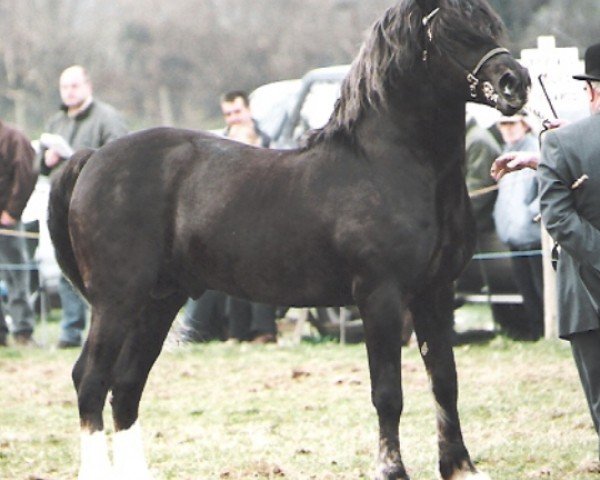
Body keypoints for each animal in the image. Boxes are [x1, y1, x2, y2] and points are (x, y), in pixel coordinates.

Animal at [48, 1, 524, 478]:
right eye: (450, 32)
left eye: (489, 24)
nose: (515, 81)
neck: (390, 166)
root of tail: (93, 157)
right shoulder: (381, 296)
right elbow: (388, 392)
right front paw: (392, 469)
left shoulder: (435, 292)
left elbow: (445, 381)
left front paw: (461, 466)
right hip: (118, 301)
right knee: (90, 380)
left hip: (159, 301)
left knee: (126, 386)